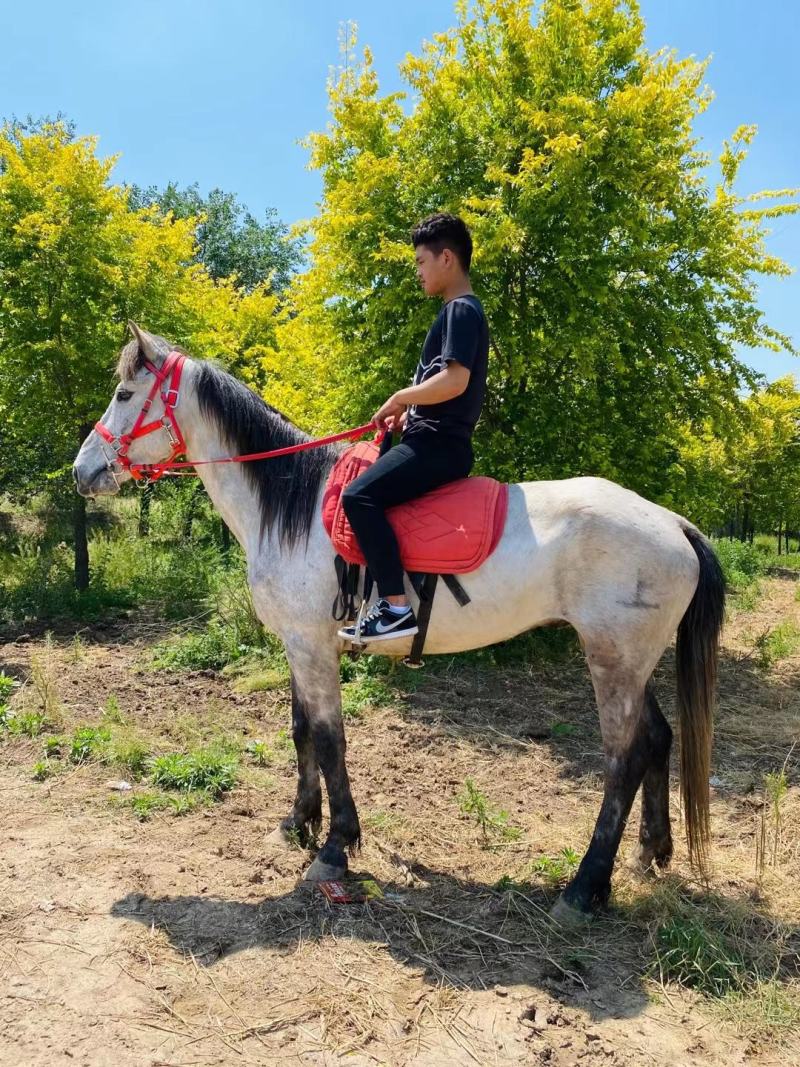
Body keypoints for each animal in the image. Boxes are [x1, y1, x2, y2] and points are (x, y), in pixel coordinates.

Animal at [73, 324, 725, 921]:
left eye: (125, 393)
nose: (82, 471)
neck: (293, 504)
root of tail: (673, 523)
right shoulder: (298, 644)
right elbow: (301, 730)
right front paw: (298, 822)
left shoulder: (312, 646)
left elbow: (329, 739)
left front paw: (335, 847)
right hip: (631, 661)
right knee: (657, 739)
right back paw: (650, 853)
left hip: (611, 660)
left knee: (622, 759)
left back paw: (584, 887)